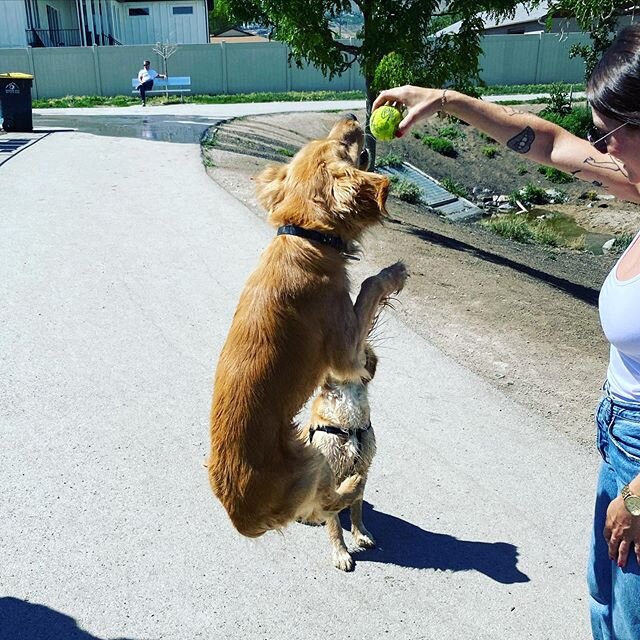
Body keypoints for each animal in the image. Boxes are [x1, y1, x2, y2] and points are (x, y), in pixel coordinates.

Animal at [208, 114, 408, 536]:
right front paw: (394, 274)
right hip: (315, 461)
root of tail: (238, 516)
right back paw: (352, 484)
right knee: (329, 504)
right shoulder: (346, 352)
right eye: (343, 145)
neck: (304, 236)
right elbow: (368, 286)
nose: (351, 117)